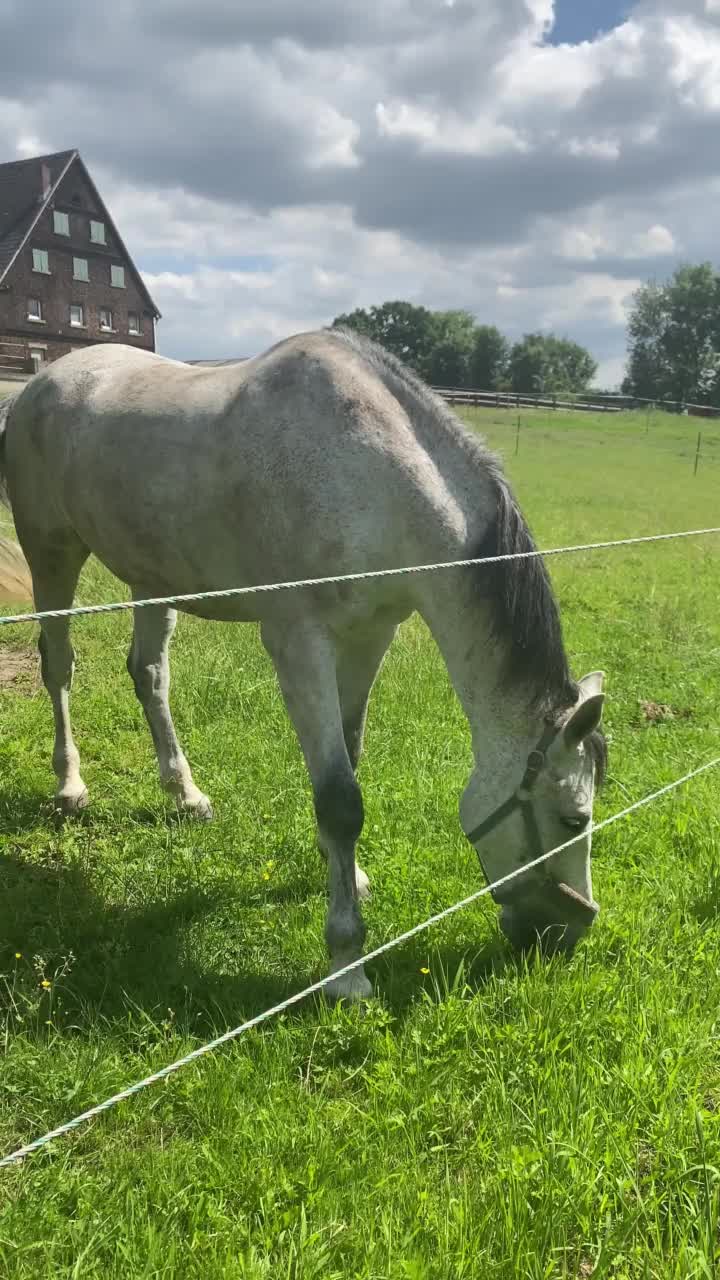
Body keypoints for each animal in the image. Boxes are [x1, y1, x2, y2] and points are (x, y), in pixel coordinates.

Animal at [0, 332, 604, 998]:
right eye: (573, 819)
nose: (565, 937)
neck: (370, 478)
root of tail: (39, 384)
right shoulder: (299, 642)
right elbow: (340, 798)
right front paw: (347, 964)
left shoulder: (371, 635)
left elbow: (349, 760)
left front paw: (349, 876)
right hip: (52, 553)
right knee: (59, 667)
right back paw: (70, 786)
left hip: (151, 578)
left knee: (150, 675)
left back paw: (185, 794)